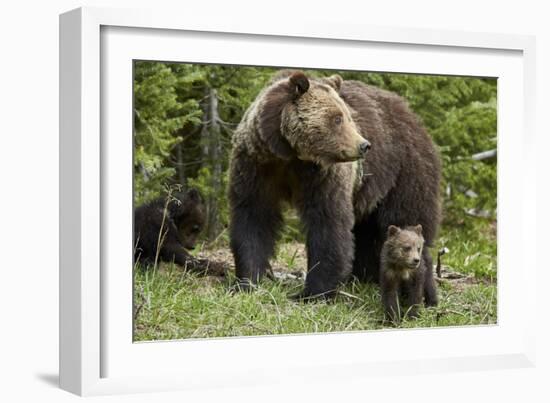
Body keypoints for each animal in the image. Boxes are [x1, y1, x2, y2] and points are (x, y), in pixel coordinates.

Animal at [231, 71, 442, 304]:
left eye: (348, 116)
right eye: (337, 118)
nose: (364, 145)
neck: (290, 155)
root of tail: (413, 116)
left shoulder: (324, 176)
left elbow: (328, 223)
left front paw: (312, 293)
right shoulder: (256, 165)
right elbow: (253, 217)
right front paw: (247, 281)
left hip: (404, 172)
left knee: (406, 219)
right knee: (367, 231)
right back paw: (363, 276)